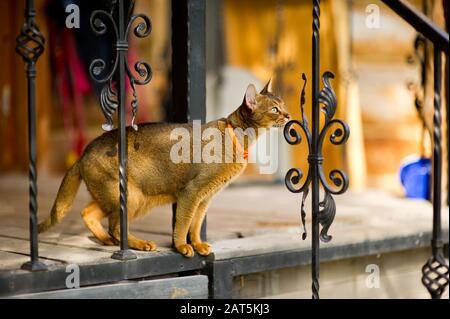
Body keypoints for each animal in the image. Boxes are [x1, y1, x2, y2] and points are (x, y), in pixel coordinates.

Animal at [39, 80, 292, 258]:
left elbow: (196, 224)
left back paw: (107, 240)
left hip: (116, 195)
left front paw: (197, 244)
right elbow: (183, 222)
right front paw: (181, 246)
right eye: (275, 110)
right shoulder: (192, 192)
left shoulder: (205, 198)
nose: (289, 115)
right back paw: (139, 244)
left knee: (89, 213)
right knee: (115, 226)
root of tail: (83, 154)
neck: (236, 136)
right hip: (132, 196)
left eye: (283, 106)